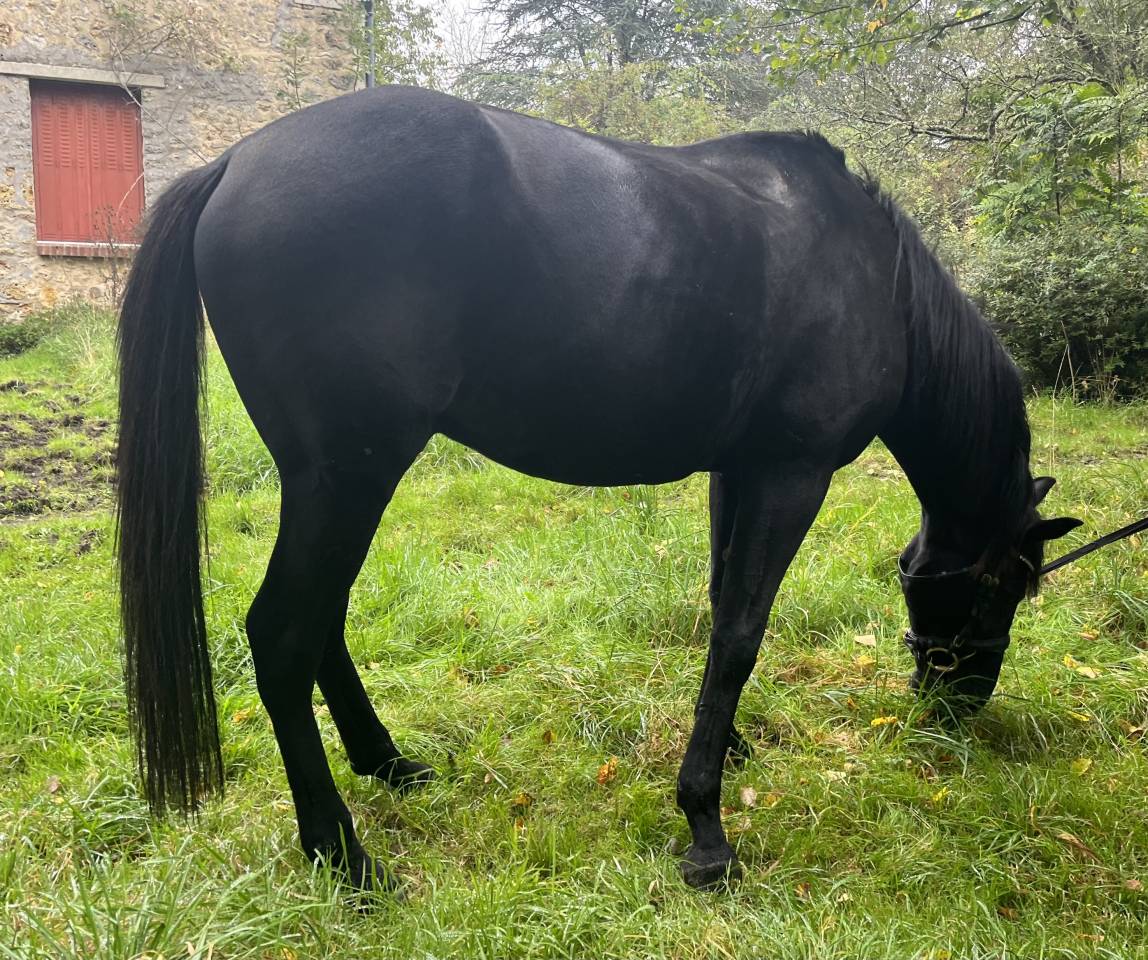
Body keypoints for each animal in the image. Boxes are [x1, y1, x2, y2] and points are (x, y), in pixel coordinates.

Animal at [115, 85, 1080, 893]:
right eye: (1001, 591)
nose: (956, 709)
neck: (873, 278)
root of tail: (235, 162)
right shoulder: (791, 475)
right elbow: (740, 633)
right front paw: (705, 828)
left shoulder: (738, 469)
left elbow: (720, 606)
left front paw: (727, 749)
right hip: (347, 479)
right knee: (284, 635)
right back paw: (341, 853)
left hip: (338, 485)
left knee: (323, 626)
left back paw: (387, 763)